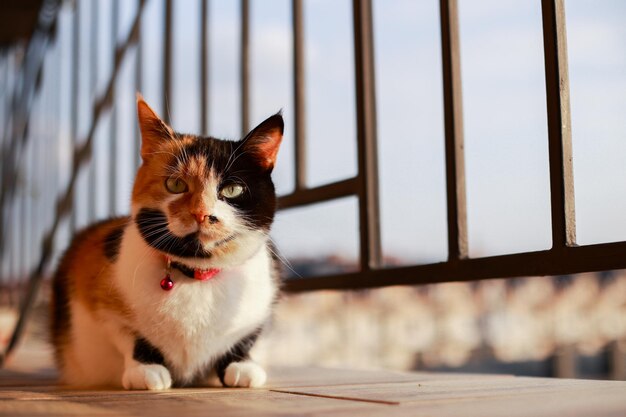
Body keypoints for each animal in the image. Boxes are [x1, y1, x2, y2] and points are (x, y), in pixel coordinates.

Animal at [50, 96, 282, 388]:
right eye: (175, 184)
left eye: (232, 190)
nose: (201, 213)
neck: (196, 276)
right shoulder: (99, 302)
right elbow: (129, 335)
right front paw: (146, 370)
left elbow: (247, 337)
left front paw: (242, 366)